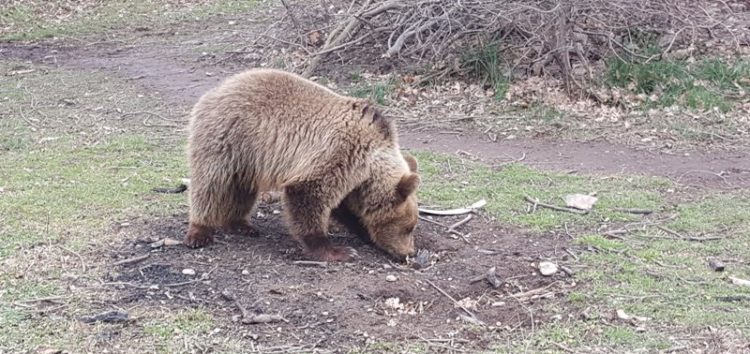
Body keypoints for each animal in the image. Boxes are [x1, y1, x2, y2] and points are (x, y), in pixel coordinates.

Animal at [186, 68, 424, 262]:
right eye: (409, 227)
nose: (409, 253)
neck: (371, 163)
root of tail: (216, 89)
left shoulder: (351, 176)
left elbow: (344, 207)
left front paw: (363, 231)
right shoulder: (341, 152)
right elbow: (308, 194)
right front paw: (338, 251)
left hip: (248, 158)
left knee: (241, 189)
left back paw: (241, 224)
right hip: (227, 138)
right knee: (210, 185)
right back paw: (200, 232)